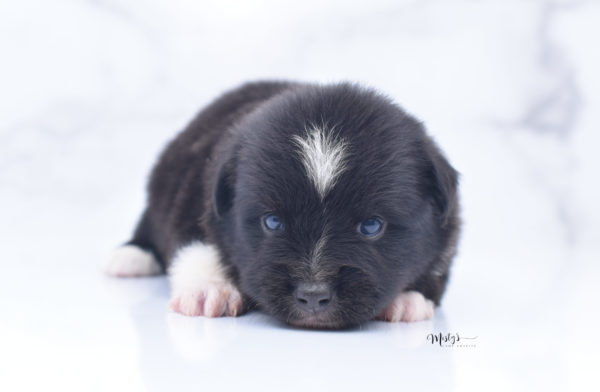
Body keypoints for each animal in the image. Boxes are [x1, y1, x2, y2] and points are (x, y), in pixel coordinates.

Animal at [104, 81, 460, 330]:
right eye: (272, 222)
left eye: (372, 226)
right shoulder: (194, 197)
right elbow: (196, 247)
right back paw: (130, 257)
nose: (313, 296)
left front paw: (408, 299)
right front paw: (210, 290)